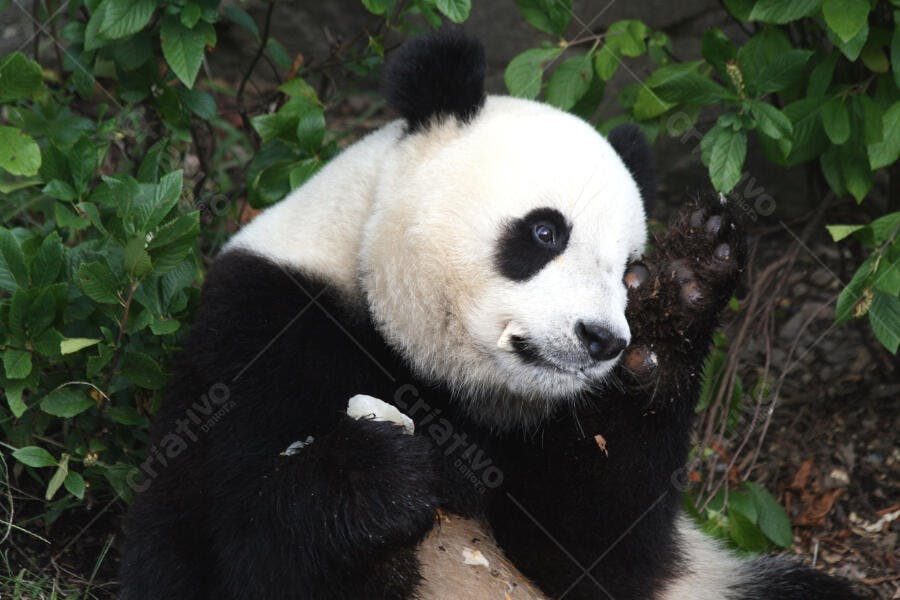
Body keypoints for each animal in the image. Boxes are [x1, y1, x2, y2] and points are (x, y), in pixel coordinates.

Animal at [119, 31, 861, 600]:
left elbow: (603, 555)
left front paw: (686, 289)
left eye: (628, 271)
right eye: (544, 232)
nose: (600, 339)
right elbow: (221, 545)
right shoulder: (265, 325)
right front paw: (382, 478)